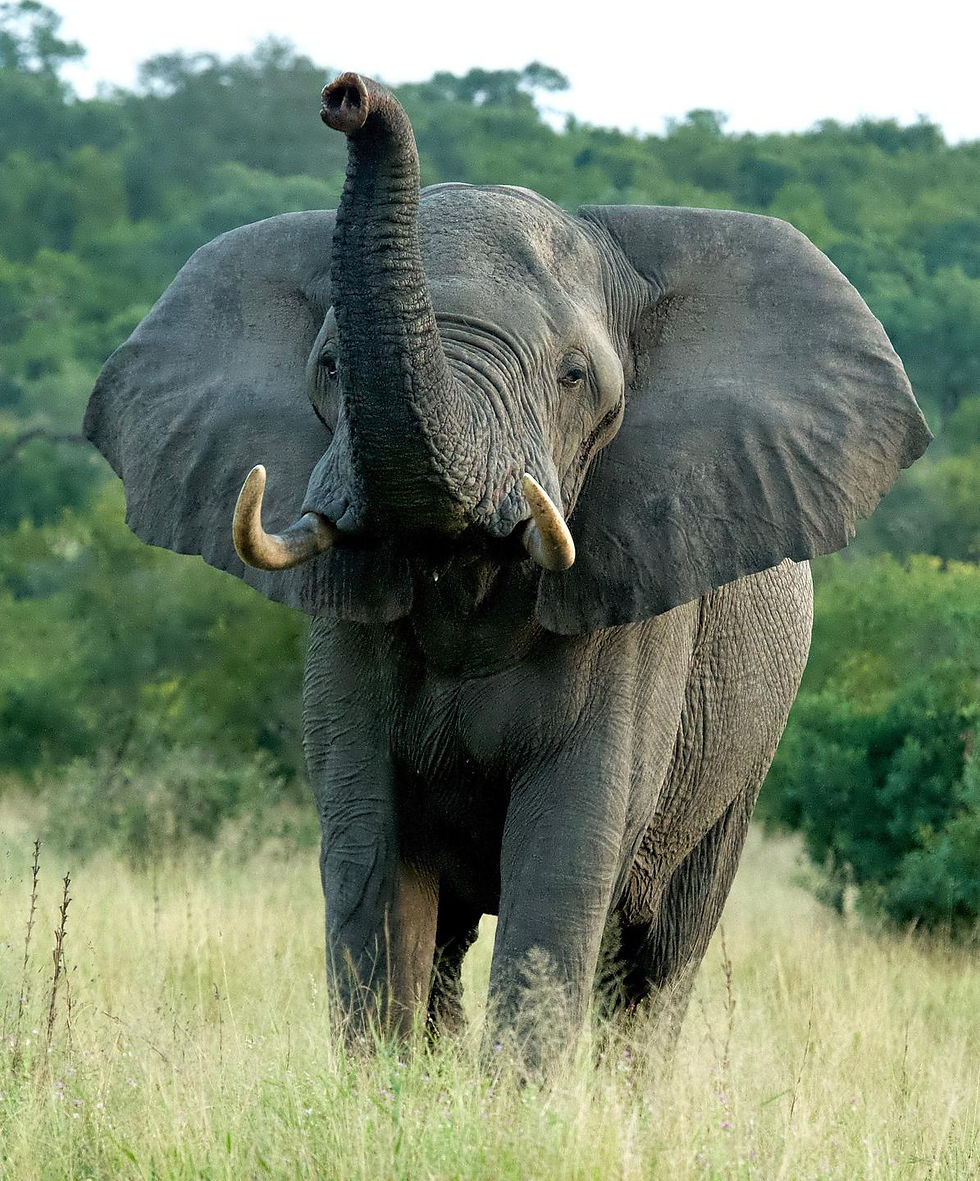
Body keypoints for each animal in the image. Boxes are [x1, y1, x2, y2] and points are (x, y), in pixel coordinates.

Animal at [84, 73, 930, 1057]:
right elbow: (369, 850)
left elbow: (563, 857)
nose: (347, 96)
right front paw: (391, 1083)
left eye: (573, 376)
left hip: (747, 751)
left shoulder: (636, 611)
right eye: (328, 365)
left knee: (657, 955)